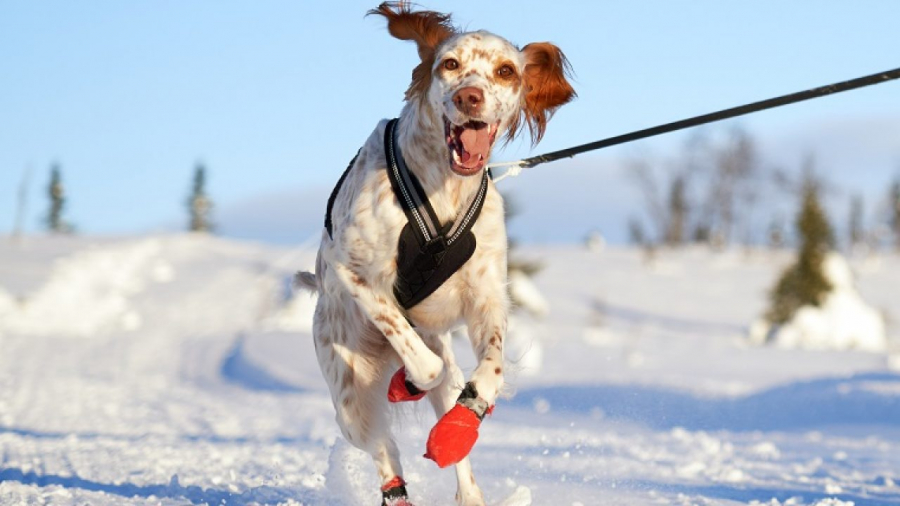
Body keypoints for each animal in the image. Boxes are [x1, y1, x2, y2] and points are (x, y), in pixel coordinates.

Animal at [296, 2, 576, 502]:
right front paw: (408, 381)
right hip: (349, 395)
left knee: (451, 428)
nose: (470, 98)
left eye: (505, 71)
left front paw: (460, 425)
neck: (444, 187)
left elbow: (489, 371)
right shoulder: (352, 270)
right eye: (450, 64)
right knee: (384, 449)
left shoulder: (486, 298)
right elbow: (421, 361)